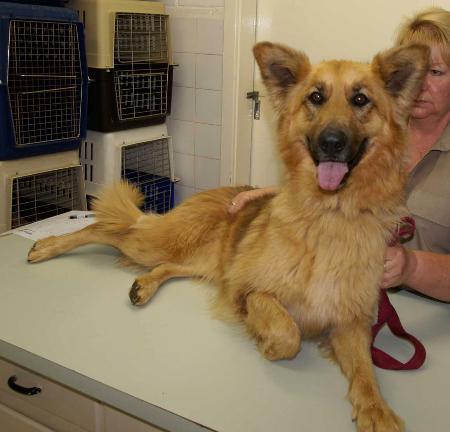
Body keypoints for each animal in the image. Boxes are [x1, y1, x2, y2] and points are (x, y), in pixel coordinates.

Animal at [27, 41, 428, 431]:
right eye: (316, 97)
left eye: (361, 100)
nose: (332, 142)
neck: (330, 216)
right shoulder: (248, 290)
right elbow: (288, 332)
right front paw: (269, 344)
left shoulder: (349, 322)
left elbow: (365, 372)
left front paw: (377, 411)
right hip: (160, 242)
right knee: (104, 228)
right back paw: (48, 245)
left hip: (203, 263)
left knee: (167, 266)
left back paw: (144, 285)